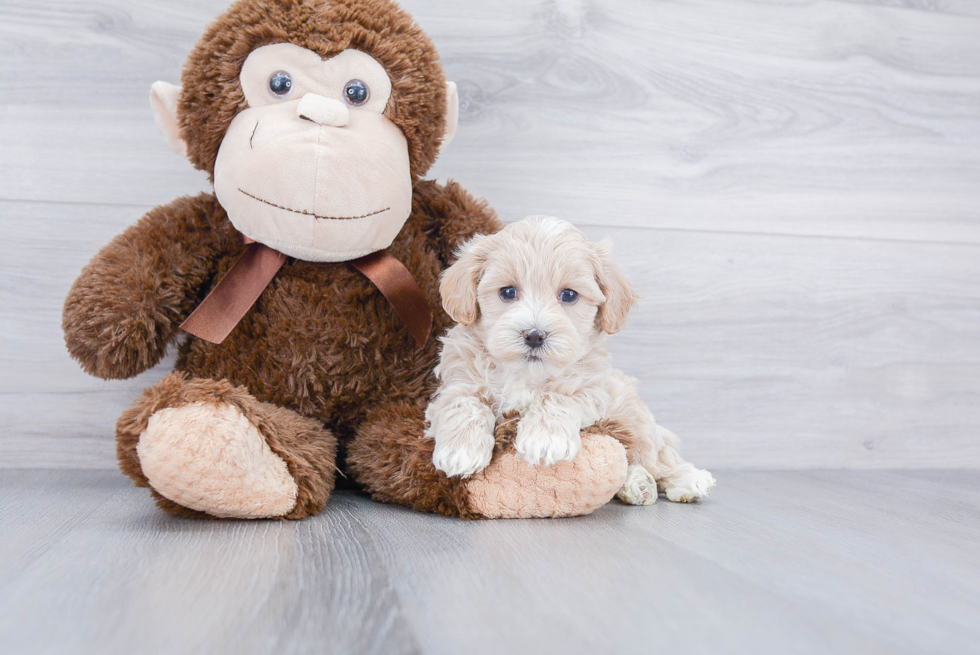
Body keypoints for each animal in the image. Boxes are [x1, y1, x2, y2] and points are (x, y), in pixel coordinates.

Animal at [424, 215, 716, 502]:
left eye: (569, 295)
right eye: (507, 292)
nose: (534, 335)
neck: (525, 375)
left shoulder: (590, 388)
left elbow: (557, 397)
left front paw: (545, 439)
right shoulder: (455, 384)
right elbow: (465, 404)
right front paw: (461, 451)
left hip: (632, 419)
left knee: (656, 455)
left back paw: (688, 480)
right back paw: (638, 485)